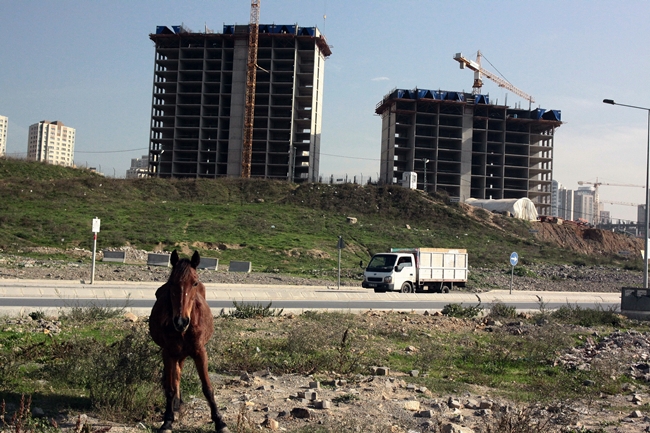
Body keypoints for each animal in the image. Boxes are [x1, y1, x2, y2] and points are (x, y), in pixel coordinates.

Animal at [148, 250, 229, 432]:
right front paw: (167, 420)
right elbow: (170, 388)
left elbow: (207, 388)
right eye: (172, 282)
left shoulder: (200, 352)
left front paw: (219, 421)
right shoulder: (168, 353)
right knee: (176, 376)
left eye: (194, 283)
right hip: (176, 353)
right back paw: (176, 406)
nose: (180, 321)